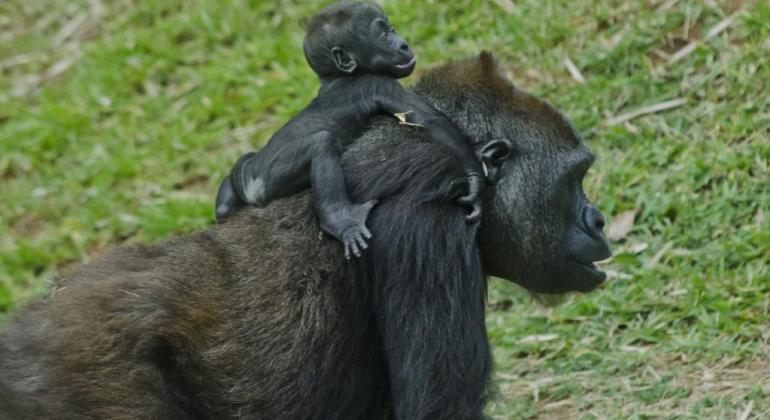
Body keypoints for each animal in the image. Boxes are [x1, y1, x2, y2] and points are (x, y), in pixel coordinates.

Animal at [214, 1, 480, 258]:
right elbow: (430, 119)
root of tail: (251, 185)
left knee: (235, 177)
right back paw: (340, 219)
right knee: (322, 143)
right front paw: (475, 180)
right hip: (269, 179)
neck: (337, 77)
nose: (403, 44)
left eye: (391, 28)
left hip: (244, 173)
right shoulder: (378, 83)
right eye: (383, 34)